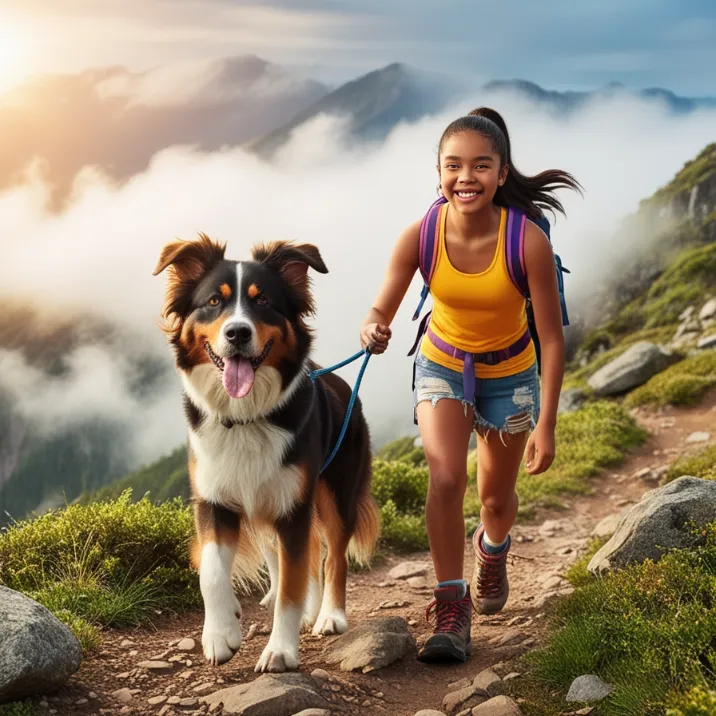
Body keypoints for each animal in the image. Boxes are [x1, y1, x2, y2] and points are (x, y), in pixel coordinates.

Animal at [152, 234, 380, 672]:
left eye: (263, 302)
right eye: (213, 301)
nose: (238, 333)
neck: (245, 417)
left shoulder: (293, 505)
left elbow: (296, 579)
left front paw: (281, 650)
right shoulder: (214, 498)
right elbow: (212, 571)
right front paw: (220, 633)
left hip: (334, 493)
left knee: (332, 556)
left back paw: (329, 615)